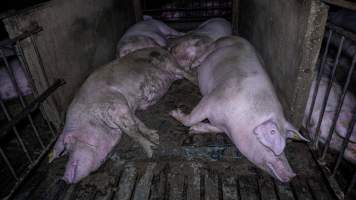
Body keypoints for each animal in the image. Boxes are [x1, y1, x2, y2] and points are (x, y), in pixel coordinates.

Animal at [50, 47, 191, 183]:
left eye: (69, 147)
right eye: (65, 152)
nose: (63, 180)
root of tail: (163, 49)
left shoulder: (117, 106)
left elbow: (132, 132)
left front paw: (151, 151)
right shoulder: (128, 109)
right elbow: (138, 124)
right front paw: (155, 137)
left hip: (169, 63)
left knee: (188, 74)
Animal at [169, 36, 306, 183]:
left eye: (286, 143)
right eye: (271, 146)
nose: (292, 175)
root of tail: (235, 36)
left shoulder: (221, 123)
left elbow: (211, 127)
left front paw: (194, 129)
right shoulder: (212, 98)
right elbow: (190, 119)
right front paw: (173, 113)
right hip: (219, 45)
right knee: (206, 52)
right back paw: (192, 65)